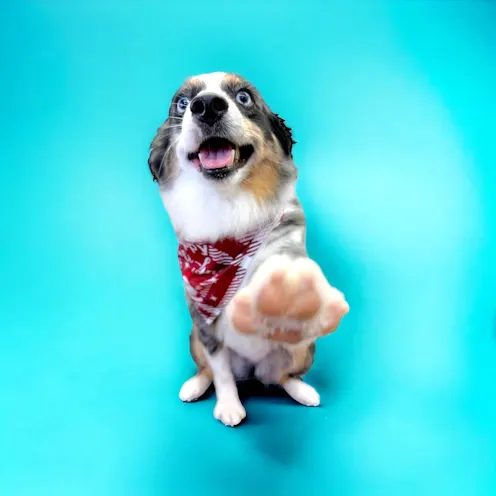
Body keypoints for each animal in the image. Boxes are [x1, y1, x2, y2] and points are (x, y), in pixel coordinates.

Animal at [148, 70, 348, 426]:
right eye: (182, 103)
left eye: (243, 97)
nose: (206, 106)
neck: (229, 205)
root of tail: (255, 372)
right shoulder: (204, 323)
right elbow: (222, 374)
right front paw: (229, 406)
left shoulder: (286, 233)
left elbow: (283, 267)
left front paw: (285, 297)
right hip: (194, 340)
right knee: (210, 370)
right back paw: (195, 385)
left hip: (302, 350)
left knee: (283, 376)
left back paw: (302, 391)